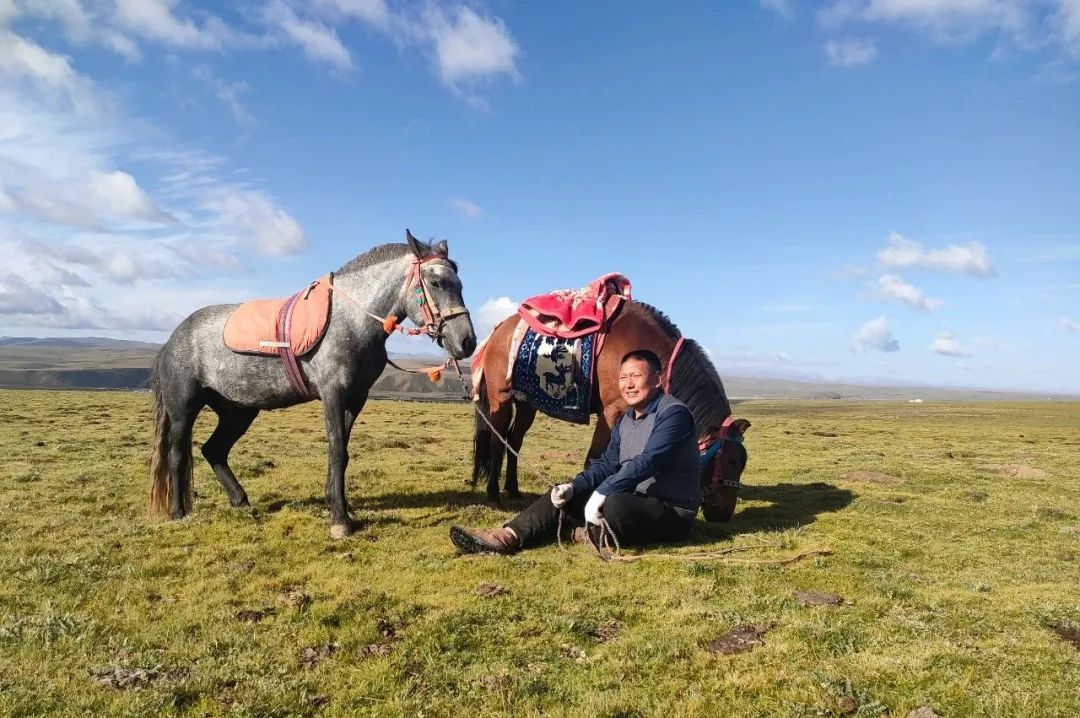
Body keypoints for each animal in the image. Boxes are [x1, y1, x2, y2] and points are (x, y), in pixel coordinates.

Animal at [151, 229, 477, 537]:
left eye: (460, 284)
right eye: (435, 283)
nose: (467, 342)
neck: (352, 321)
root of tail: (171, 341)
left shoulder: (355, 398)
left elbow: (341, 452)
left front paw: (339, 506)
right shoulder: (333, 393)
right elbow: (337, 450)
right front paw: (340, 520)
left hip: (239, 411)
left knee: (214, 450)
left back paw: (240, 500)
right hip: (183, 409)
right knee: (178, 455)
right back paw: (179, 512)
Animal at [473, 300, 751, 520]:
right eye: (732, 460)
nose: (724, 513)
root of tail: (497, 330)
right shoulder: (611, 411)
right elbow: (594, 458)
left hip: (527, 403)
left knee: (514, 441)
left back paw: (513, 489)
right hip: (501, 398)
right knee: (497, 442)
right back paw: (494, 493)